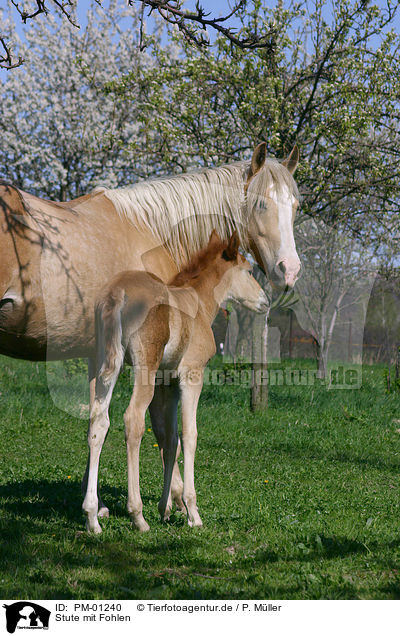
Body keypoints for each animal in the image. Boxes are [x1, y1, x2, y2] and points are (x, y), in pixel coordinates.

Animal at [82, 231, 268, 536]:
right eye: (249, 270)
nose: (265, 301)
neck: (198, 304)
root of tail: (117, 294)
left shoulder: (165, 383)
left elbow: (168, 438)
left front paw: (166, 508)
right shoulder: (191, 376)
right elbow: (188, 435)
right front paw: (192, 512)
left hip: (103, 364)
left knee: (99, 422)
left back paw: (92, 517)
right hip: (143, 369)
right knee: (132, 420)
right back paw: (137, 515)